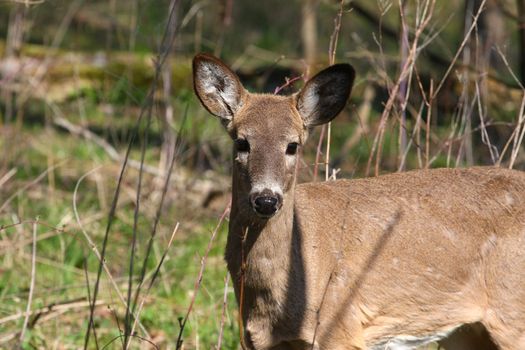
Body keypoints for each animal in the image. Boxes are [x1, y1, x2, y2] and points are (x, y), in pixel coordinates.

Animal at [191, 52, 524, 350]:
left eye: (293, 145)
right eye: (242, 142)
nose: (266, 200)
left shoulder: (340, 326)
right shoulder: (262, 341)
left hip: (512, 312)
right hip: (468, 331)